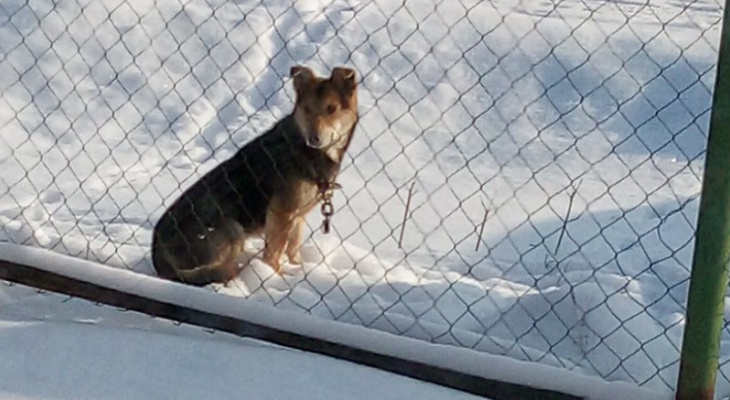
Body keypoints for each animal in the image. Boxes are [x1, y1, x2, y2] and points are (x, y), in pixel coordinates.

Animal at [151, 65, 358, 284]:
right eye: (307, 109)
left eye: (331, 109)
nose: (313, 138)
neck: (311, 153)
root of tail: (158, 258)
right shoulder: (281, 213)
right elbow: (274, 253)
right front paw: (276, 278)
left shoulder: (298, 216)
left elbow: (293, 248)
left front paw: (297, 269)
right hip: (233, 228)